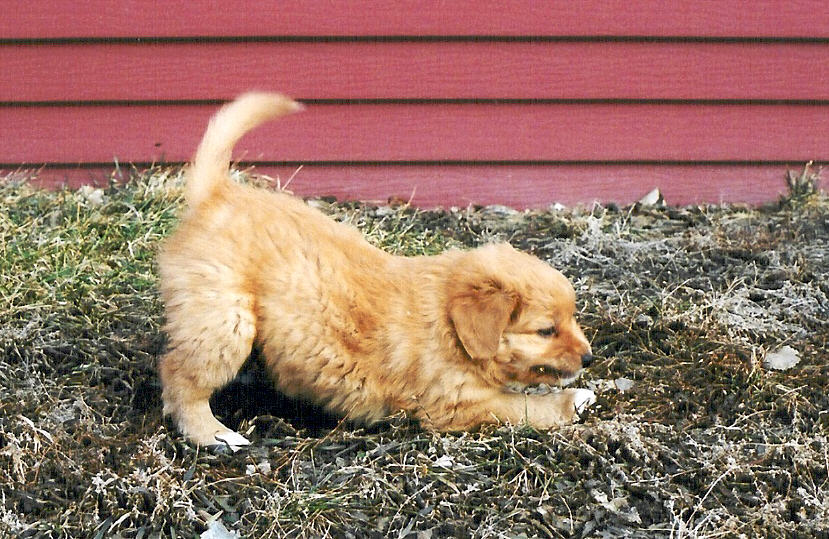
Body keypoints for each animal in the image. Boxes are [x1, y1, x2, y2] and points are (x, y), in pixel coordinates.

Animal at [157, 94, 596, 452]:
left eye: (572, 319)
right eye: (545, 331)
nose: (590, 358)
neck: (448, 325)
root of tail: (216, 194)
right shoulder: (454, 404)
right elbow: (523, 408)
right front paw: (571, 401)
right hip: (224, 319)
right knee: (179, 376)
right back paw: (214, 433)